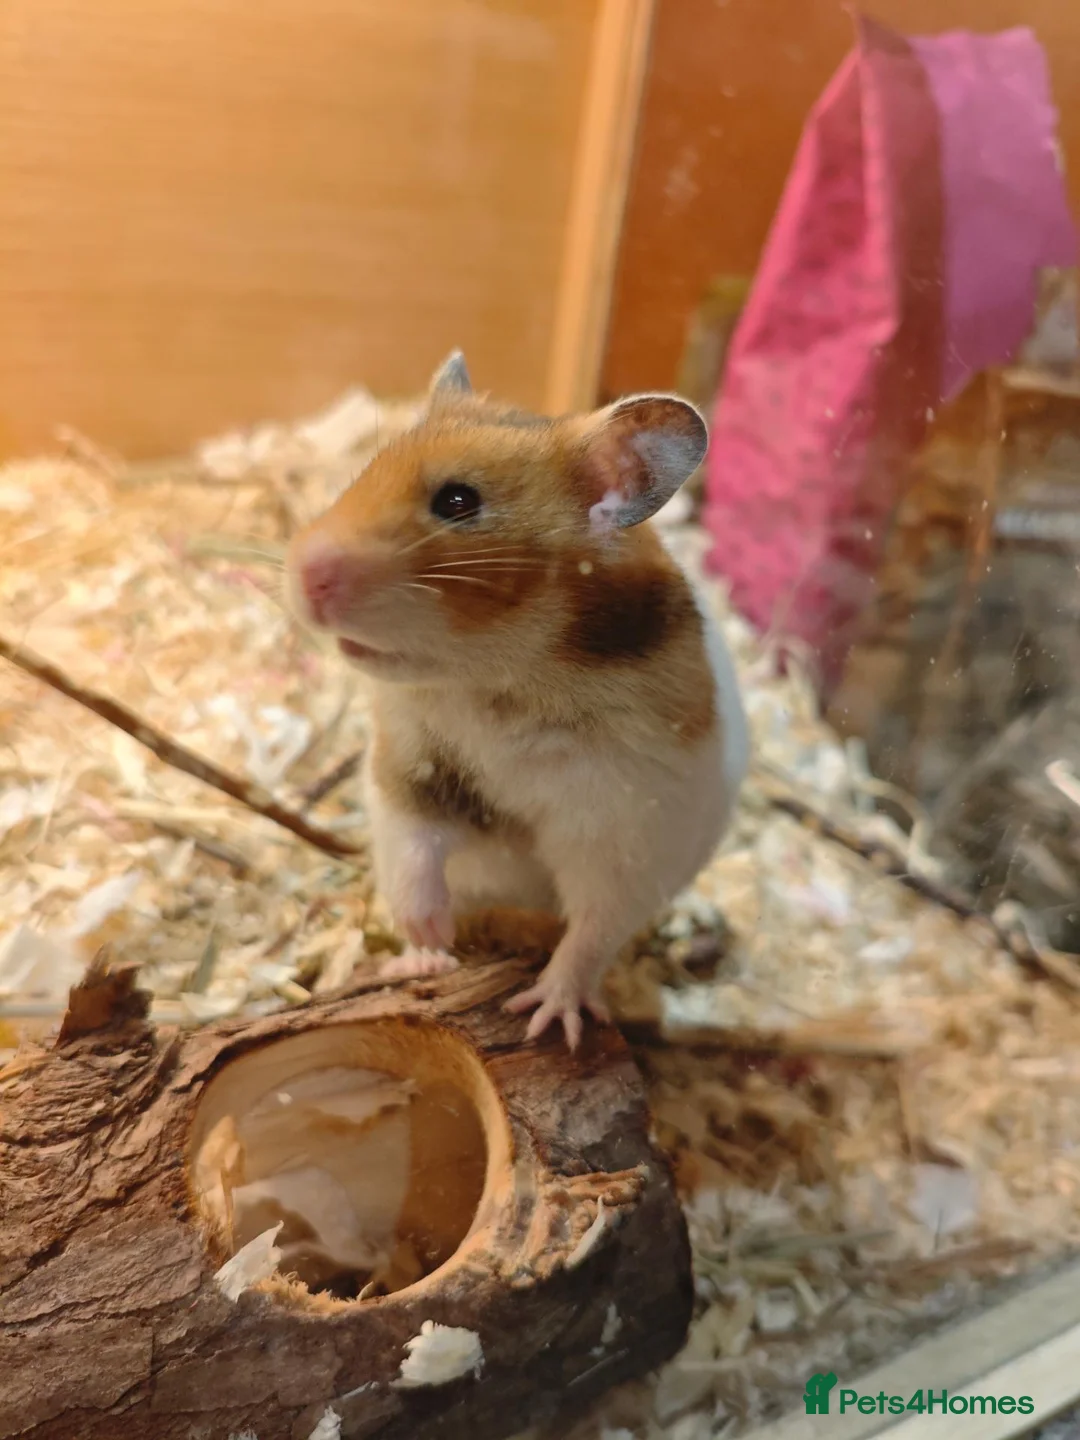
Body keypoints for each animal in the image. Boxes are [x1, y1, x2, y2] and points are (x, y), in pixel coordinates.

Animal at [286, 351, 749, 1048]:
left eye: (457, 501)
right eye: (367, 468)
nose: (301, 573)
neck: (500, 680)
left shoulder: (624, 831)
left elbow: (590, 932)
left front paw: (548, 1018)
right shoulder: (412, 769)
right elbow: (415, 852)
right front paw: (432, 939)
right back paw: (418, 958)